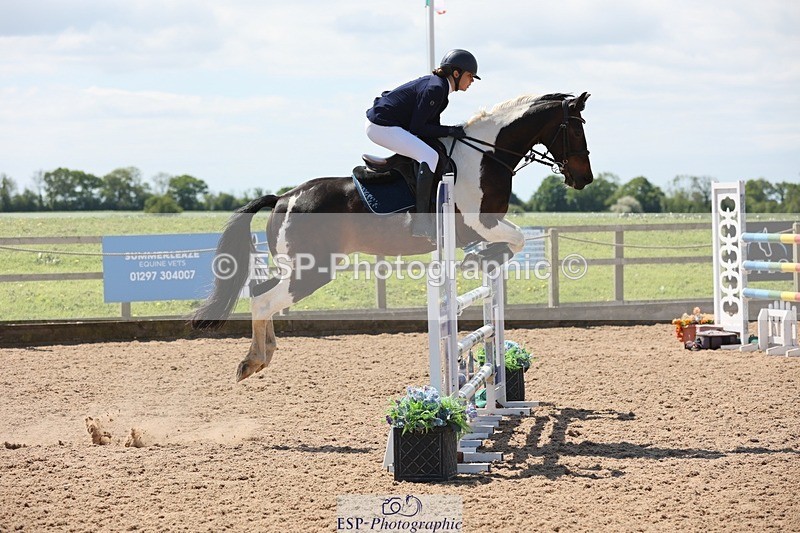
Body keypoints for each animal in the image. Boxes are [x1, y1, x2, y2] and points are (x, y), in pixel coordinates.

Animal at [191, 92, 594, 381]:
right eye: (576, 129)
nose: (585, 179)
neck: (485, 156)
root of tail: (283, 198)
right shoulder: (480, 222)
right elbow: (518, 239)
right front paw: (480, 259)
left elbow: (511, 244)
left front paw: (482, 259)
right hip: (312, 270)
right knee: (263, 301)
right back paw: (253, 361)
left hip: (299, 267)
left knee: (260, 291)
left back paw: (263, 355)